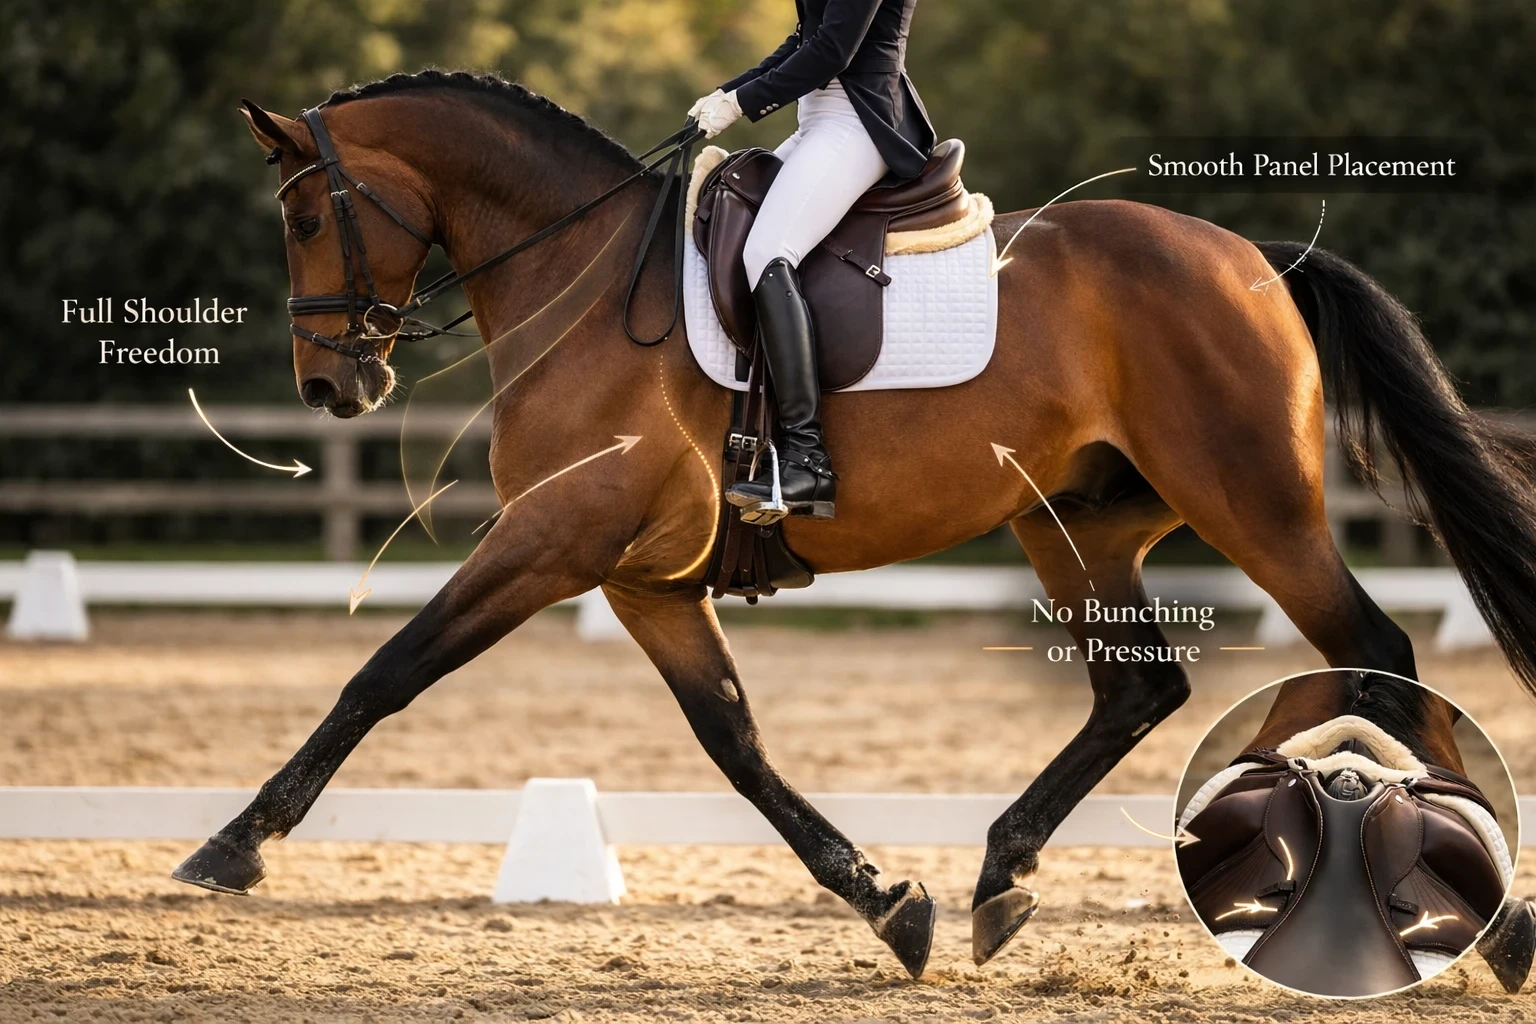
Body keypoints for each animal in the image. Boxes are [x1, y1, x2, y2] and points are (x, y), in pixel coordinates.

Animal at [174, 70, 1536, 981]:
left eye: (305, 219)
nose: (331, 388)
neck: (582, 277)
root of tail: (1253, 255)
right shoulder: (642, 580)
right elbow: (736, 742)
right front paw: (891, 902)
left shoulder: (552, 538)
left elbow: (383, 673)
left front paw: (232, 847)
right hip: (1080, 526)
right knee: (1143, 689)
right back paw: (1002, 877)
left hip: (1252, 503)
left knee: (1375, 654)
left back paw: (1485, 918)